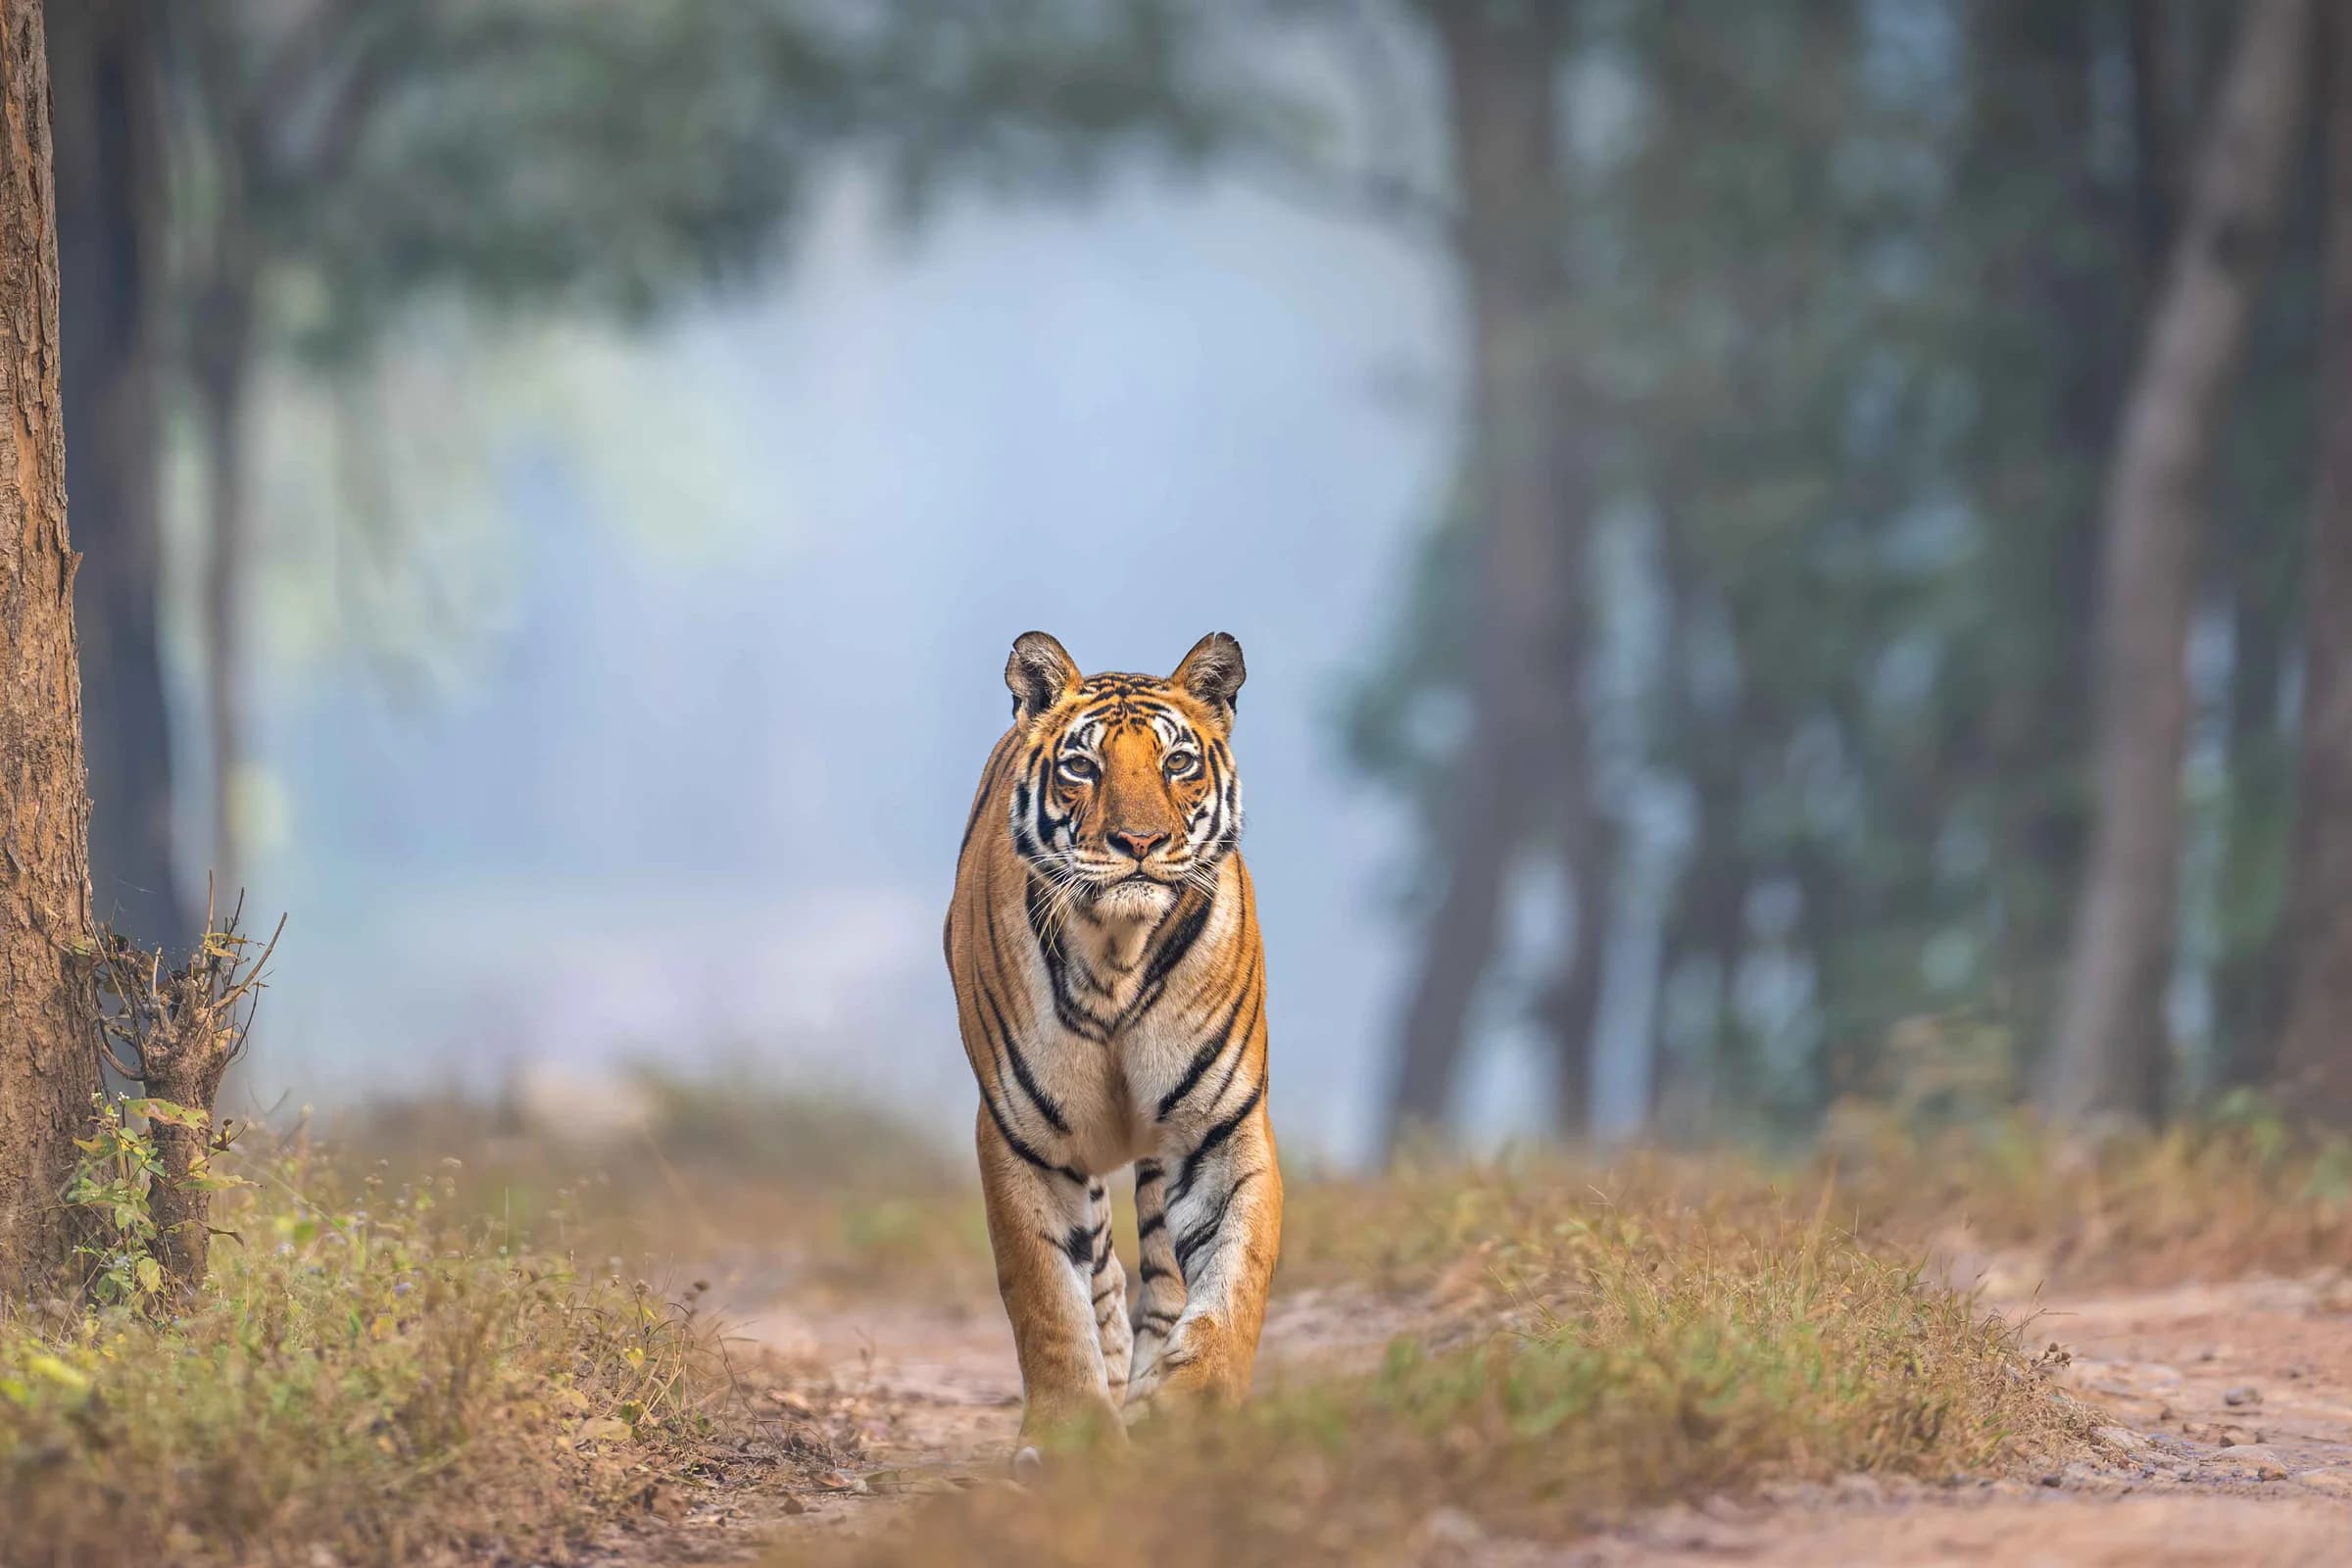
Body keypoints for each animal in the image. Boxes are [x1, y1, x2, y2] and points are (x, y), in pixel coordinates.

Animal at [943, 630, 1281, 1456]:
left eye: (1178, 763)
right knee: (1102, 1273)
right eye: (1082, 767)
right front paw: (1072, 1442)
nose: (1139, 841)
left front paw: (1194, 1414)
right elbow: (1048, 1298)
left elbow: (1233, 1279)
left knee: (1162, 1275)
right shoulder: (1025, 1135)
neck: (1117, 953)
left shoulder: (1221, 1130)